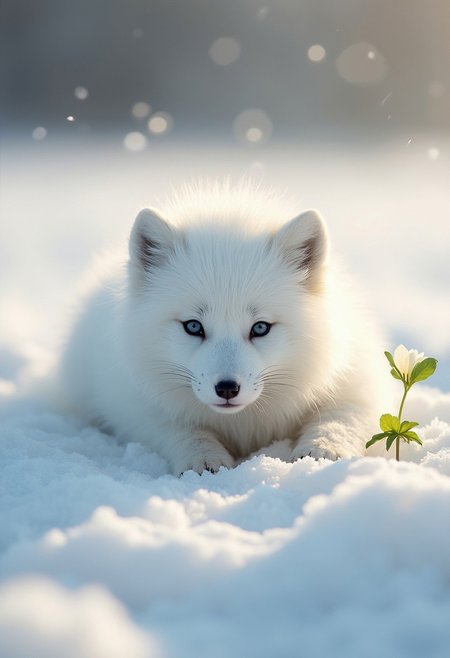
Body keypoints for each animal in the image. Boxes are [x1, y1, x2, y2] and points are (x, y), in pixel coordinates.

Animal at [60, 182, 387, 476]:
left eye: (260, 327)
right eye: (193, 326)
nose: (227, 388)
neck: (241, 423)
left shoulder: (359, 387)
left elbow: (340, 419)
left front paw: (322, 450)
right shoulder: (131, 405)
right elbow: (181, 430)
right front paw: (203, 458)